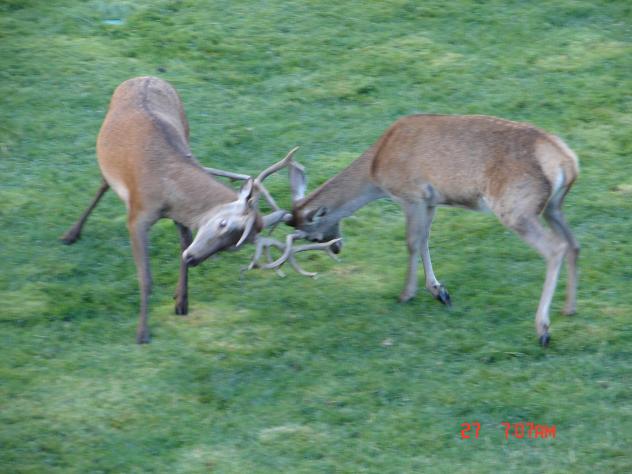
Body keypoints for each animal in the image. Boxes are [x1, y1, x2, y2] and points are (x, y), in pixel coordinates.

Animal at [61, 76, 338, 344]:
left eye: (232, 246)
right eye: (223, 224)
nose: (194, 259)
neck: (166, 190)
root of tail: (144, 76)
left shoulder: (180, 217)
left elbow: (182, 245)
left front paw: (181, 302)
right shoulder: (137, 215)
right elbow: (146, 278)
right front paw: (142, 332)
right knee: (102, 184)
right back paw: (71, 234)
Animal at [287, 114, 580, 346]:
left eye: (313, 236)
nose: (336, 246)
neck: (376, 170)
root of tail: (566, 161)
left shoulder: (411, 195)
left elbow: (411, 242)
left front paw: (407, 294)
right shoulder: (430, 200)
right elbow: (425, 239)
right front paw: (439, 292)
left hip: (517, 209)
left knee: (555, 247)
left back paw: (543, 329)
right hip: (554, 206)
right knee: (574, 244)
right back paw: (569, 308)